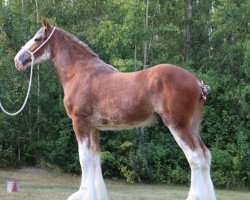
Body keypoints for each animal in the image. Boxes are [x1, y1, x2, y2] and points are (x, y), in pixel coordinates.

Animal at [14, 18, 215, 200]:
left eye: (37, 38)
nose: (18, 60)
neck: (80, 73)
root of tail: (198, 84)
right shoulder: (94, 128)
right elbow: (95, 159)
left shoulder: (80, 123)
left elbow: (84, 159)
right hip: (192, 127)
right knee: (205, 156)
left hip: (178, 126)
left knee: (195, 157)